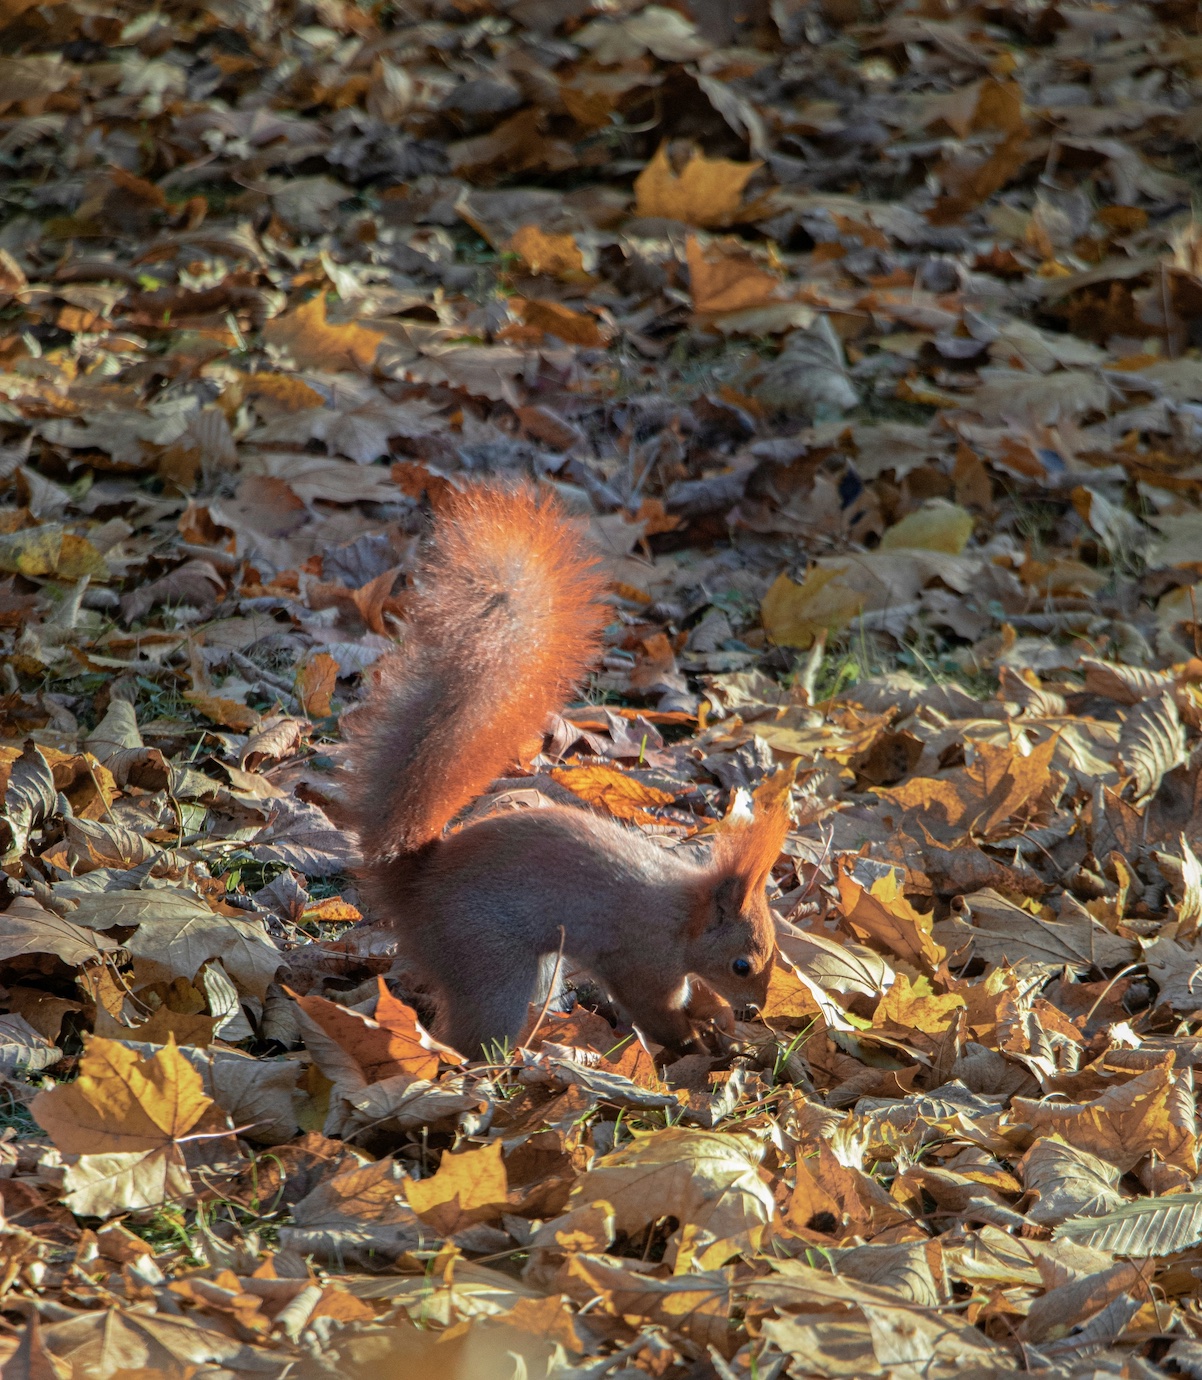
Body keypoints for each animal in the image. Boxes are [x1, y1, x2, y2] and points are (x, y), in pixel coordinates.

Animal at [343, 482, 787, 1059]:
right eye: (741, 965)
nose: (756, 1009)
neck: (683, 917)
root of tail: (414, 888)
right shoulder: (641, 961)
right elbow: (654, 1011)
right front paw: (697, 1045)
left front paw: (717, 1026)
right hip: (491, 963)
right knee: (467, 1038)